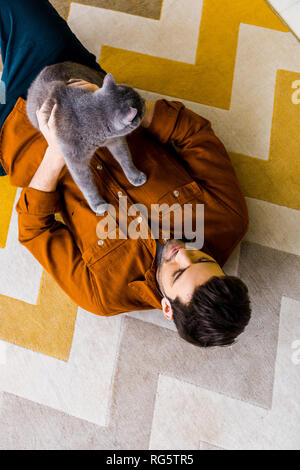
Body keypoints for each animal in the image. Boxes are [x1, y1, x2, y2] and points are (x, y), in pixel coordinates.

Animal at [27, 59, 146, 214]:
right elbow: (87, 185)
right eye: (142, 107)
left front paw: (135, 176)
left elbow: (125, 157)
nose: (144, 100)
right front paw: (98, 204)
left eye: (141, 100)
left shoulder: (116, 140)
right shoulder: (75, 161)